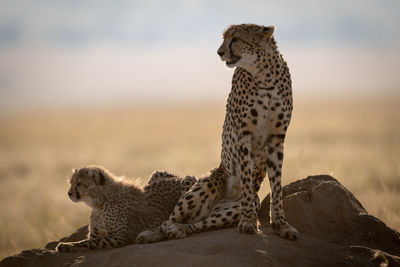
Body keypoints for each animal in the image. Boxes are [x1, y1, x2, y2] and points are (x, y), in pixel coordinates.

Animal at [54, 166, 195, 252]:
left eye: (78, 184)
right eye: (71, 183)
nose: (69, 193)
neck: (100, 202)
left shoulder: (117, 238)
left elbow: (86, 243)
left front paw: (66, 245)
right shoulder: (95, 234)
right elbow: (87, 240)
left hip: (188, 181)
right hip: (157, 173)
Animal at [161, 23, 298, 241]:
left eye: (235, 39)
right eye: (224, 38)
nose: (219, 52)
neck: (264, 75)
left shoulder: (277, 139)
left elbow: (276, 186)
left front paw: (281, 225)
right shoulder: (244, 136)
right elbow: (246, 177)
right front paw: (248, 221)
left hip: (229, 209)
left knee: (199, 224)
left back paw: (182, 230)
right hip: (208, 182)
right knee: (167, 221)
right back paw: (160, 232)